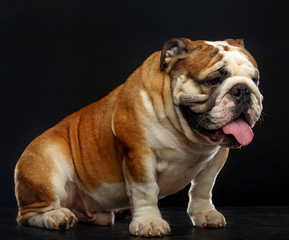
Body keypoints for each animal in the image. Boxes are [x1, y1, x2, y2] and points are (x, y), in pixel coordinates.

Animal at [14, 37, 260, 236]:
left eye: (255, 79)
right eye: (213, 80)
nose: (242, 89)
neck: (183, 130)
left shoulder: (216, 158)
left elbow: (203, 188)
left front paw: (205, 214)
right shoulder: (139, 154)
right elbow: (146, 191)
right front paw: (149, 222)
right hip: (47, 166)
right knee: (28, 214)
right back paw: (55, 216)